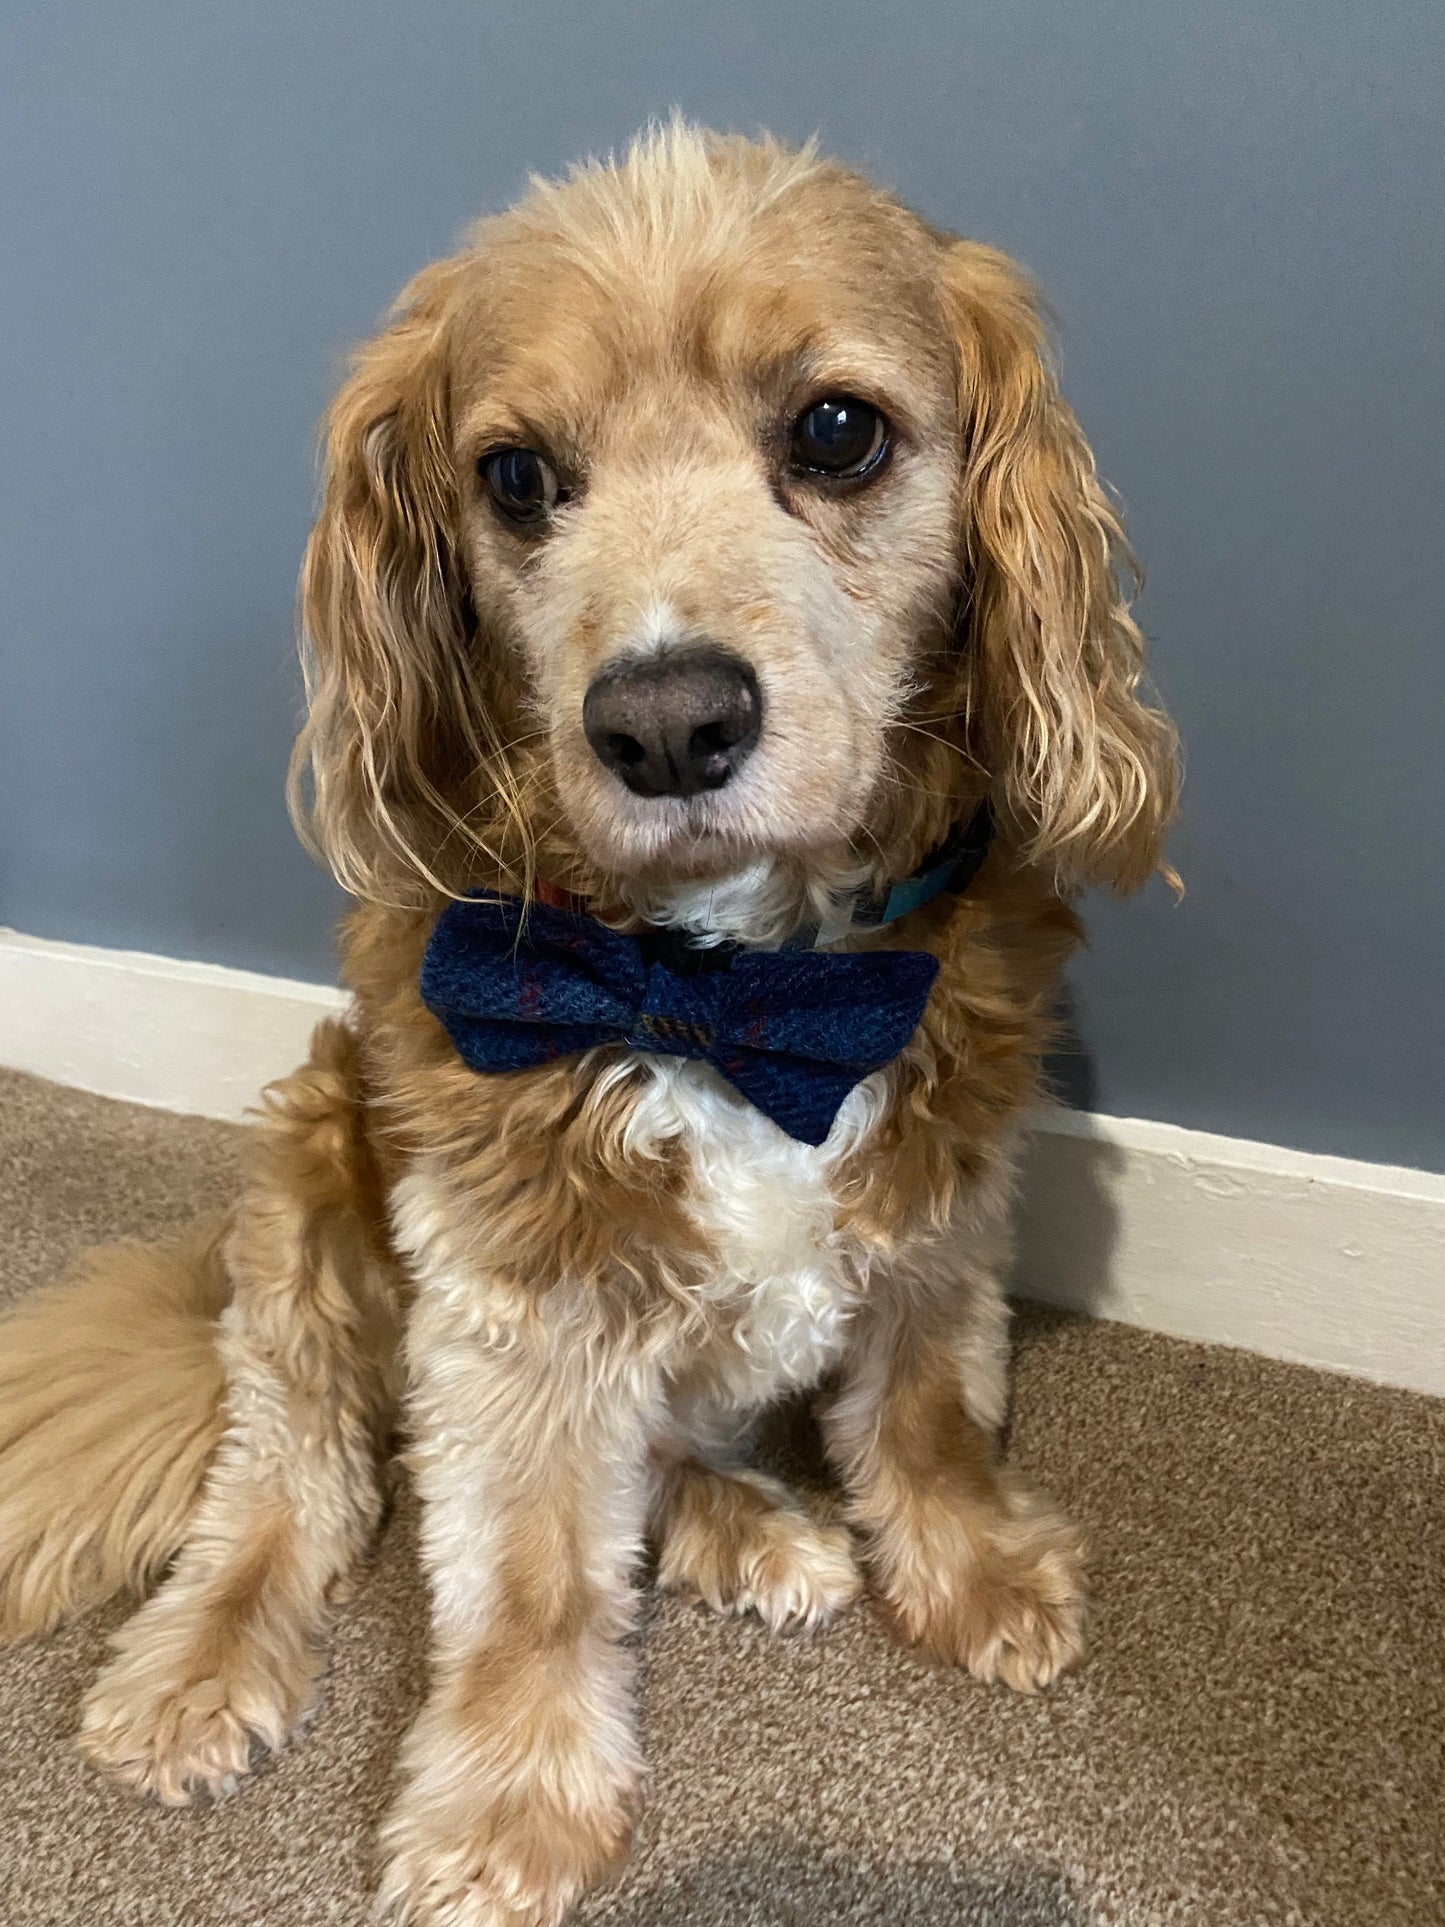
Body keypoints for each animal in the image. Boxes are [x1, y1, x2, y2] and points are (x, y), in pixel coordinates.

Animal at [0, 124, 1179, 1927]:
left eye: (837, 430)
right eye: (514, 475)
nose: (668, 719)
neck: (728, 981)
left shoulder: (944, 1195)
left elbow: (919, 1408)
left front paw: (975, 1572)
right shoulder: (512, 1295)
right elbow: (536, 1568)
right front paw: (509, 1804)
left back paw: (753, 1526)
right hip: (312, 1190)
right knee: (292, 1475)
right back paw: (201, 1665)